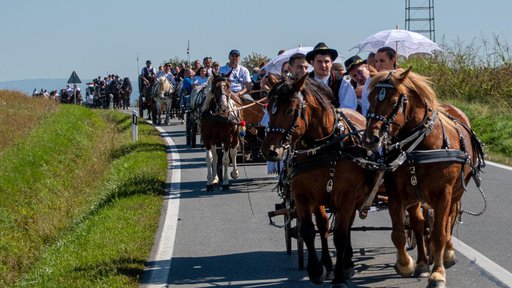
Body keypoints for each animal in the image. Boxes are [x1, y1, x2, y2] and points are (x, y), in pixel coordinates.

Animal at [262, 75, 370, 288]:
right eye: (269, 108)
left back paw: (347, 263)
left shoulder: (348, 195)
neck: (323, 147)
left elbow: (341, 235)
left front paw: (339, 277)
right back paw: (328, 264)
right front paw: (316, 270)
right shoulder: (303, 195)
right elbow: (308, 230)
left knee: (346, 226)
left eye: (290, 110)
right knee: (323, 225)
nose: (270, 151)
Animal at [360, 67, 484, 288]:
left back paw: (447, 253)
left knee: (449, 219)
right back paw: (423, 263)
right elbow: (400, 233)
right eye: (370, 97)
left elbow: (438, 233)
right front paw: (407, 264)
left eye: (394, 101)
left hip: (456, 192)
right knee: (418, 224)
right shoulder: (397, 194)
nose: (370, 139)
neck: (422, 146)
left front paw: (438, 274)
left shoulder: (443, 194)